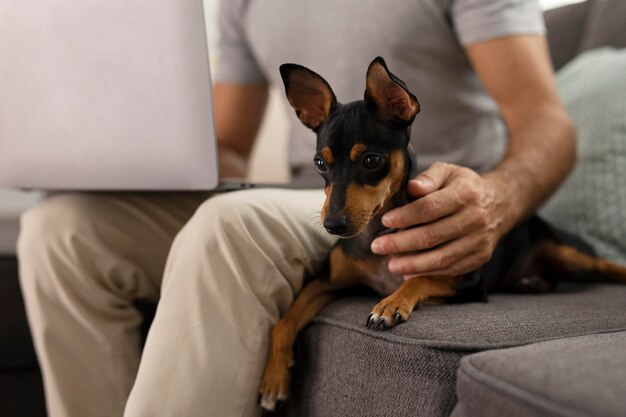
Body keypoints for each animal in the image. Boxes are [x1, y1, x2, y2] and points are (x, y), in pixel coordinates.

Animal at [256, 57, 620, 412]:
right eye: (320, 163)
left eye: (372, 160)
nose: (333, 225)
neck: (377, 229)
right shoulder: (327, 281)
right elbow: (284, 321)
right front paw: (273, 380)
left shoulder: (469, 280)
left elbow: (420, 278)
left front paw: (390, 304)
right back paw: (531, 282)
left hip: (570, 254)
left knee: (605, 267)